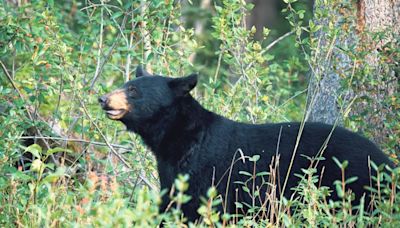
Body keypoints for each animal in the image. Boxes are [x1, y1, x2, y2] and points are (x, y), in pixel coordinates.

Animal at [98, 65, 392, 221]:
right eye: (127, 83)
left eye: (133, 90)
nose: (103, 98)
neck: (177, 139)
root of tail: (386, 160)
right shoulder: (171, 173)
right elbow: (171, 205)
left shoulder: (208, 173)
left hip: (351, 184)